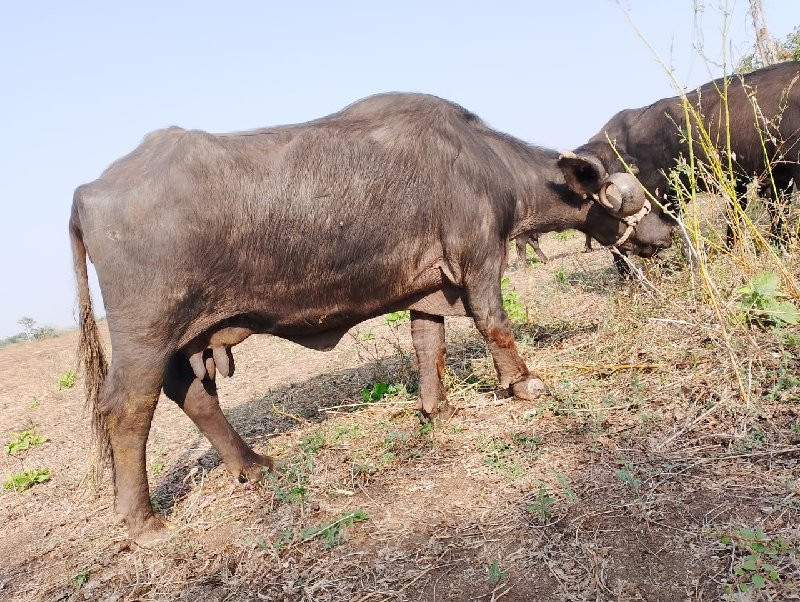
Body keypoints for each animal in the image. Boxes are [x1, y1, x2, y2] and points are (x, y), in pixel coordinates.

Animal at [70, 91, 676, 540]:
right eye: (625, 196)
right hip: (146, 337)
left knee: (194, 394)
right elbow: (494, 324)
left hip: (181, 340)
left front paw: (438, 409)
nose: (666, 231)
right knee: (127, 410)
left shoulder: (431, 289)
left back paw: (251, 464)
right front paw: (524, 384)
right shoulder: (479, 260)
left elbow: (429, 345)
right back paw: (143, 521)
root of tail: (87, 191)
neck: (486, 164)